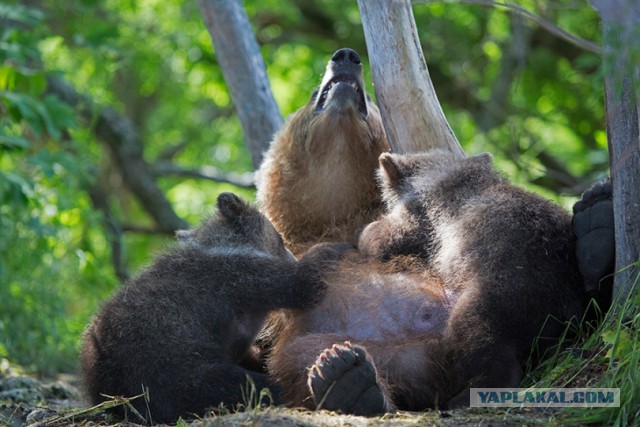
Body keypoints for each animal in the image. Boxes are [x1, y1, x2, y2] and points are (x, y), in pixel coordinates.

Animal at [80, 194, 344, 424]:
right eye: (279, 237)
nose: (291, 255)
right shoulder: (239, 278)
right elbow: (299, 284)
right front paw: (331, 249)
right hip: (163, 364)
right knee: (231, 385)